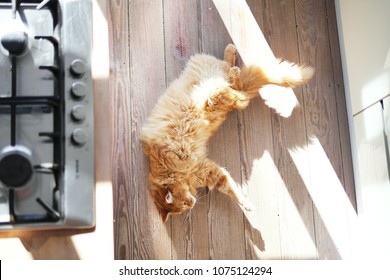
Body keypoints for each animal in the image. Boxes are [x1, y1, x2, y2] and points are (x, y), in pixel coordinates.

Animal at [140, 44, 314, 223]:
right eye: (184, 207)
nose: (193, 203)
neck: (168, 171)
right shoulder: (210, 172)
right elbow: (231, 188)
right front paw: (246, 205)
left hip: (214, 95)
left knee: (233, 79)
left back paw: (233, 61)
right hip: (225, 95)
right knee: (235, 84)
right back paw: (233, 59)